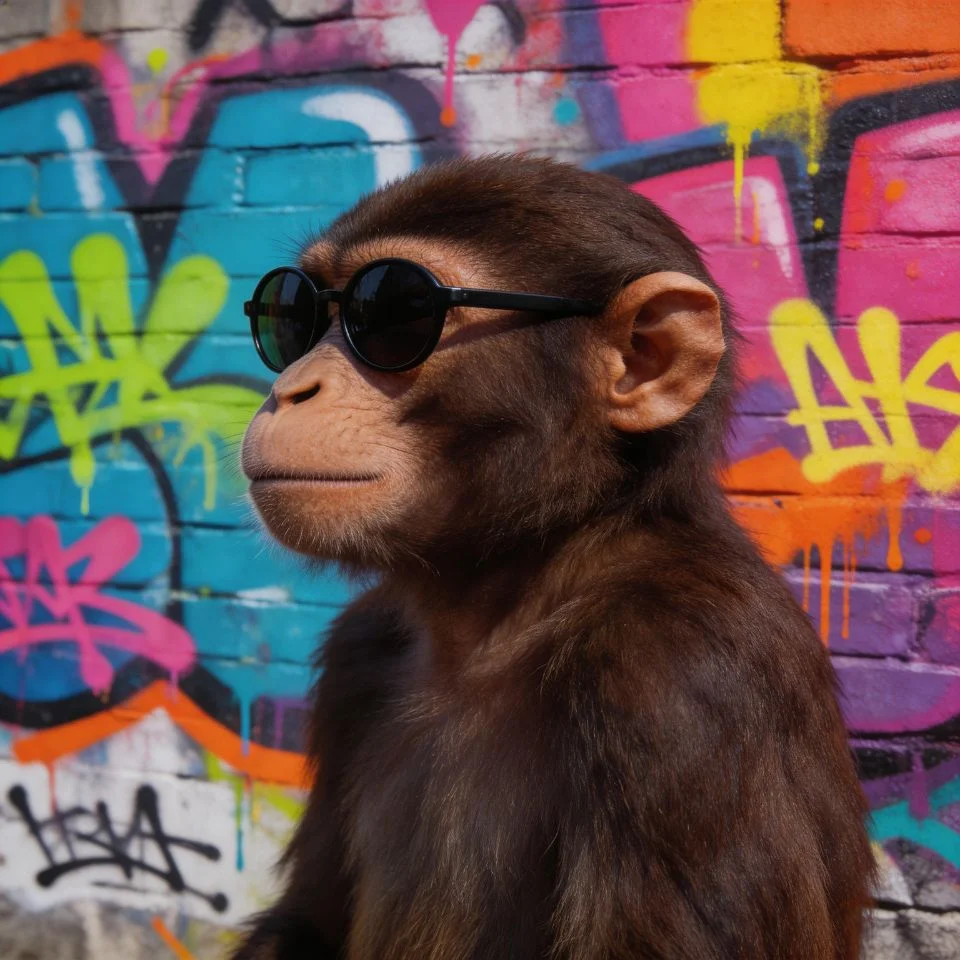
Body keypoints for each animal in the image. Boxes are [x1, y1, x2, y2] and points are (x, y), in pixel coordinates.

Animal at [236, 154, 874, 959]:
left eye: (395, 309)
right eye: (291, 315)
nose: (294, 387)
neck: (521, 587)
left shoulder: (679, 675)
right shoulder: (360, 652)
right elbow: (308, 919)